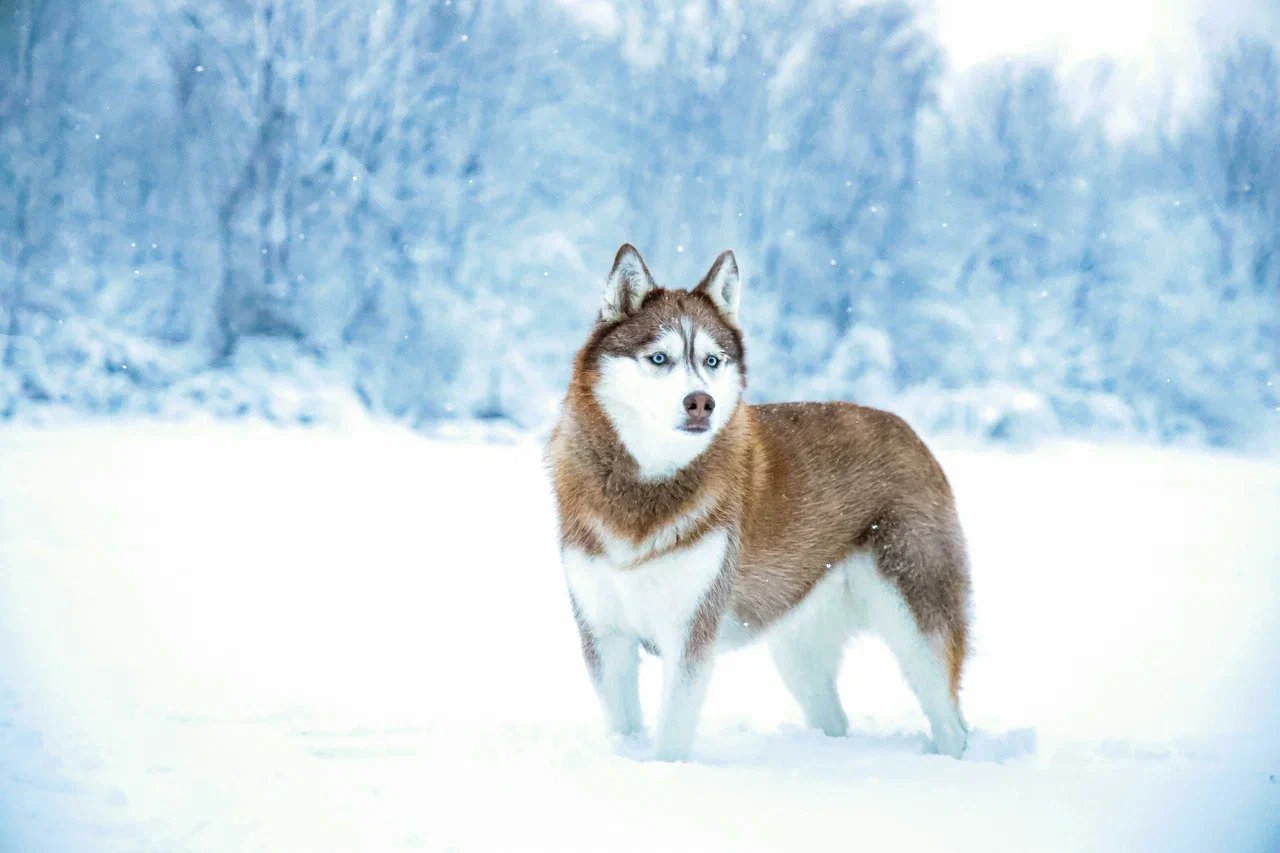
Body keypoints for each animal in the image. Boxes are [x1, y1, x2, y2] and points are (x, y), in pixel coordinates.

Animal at [545, 244, 972, 758]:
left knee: (949, 717)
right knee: (834, 717)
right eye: (659, 358)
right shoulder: (604, 633)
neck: (647, 486)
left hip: (916, 623)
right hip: (797, 648)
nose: (701, 402)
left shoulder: (692, 631)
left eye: (712, 360)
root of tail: (909, 431)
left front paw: (664, 769)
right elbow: (624, 723)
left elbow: (671, 733)